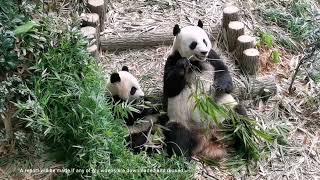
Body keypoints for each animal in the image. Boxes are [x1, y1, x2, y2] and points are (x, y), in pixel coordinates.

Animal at [162, 20, 248, 160]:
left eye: (205, 41)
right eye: (193, 44)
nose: (203, 52)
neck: (195, 62)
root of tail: (208, 139)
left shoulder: (212, 57)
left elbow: (224, 73)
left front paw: (220, 87)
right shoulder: (172, 60)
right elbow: (170, 88)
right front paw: (182, 64)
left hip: (225, 113)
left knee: (240, 118)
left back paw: (245, 147)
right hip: (182, 122)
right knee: (178, 137)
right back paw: (182, 160)